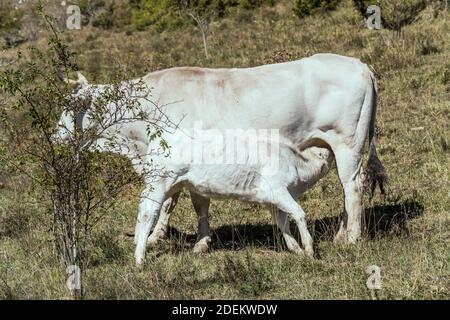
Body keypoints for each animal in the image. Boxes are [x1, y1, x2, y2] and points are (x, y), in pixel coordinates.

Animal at [56, 53, 386, 268]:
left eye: (69, 109)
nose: (55, 139)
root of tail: (359, 64)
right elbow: (192, 200)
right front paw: (191, 240)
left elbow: (177, 201)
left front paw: (164, 239)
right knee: (348, 190)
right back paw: (341, 234)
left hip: (348, 142)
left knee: (352, 187)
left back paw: (352, 238)